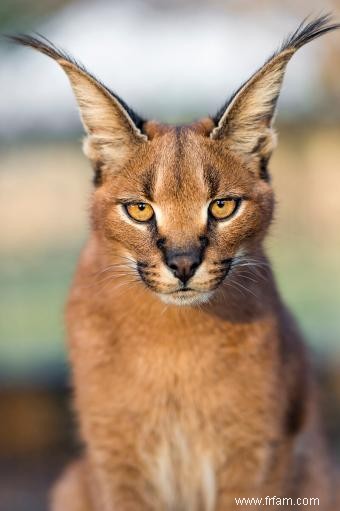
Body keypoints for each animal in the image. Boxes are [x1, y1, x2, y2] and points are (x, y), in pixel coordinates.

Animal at [10, 15, 340, 511]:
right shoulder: (116, 460)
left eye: (222, 206)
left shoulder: (255, 456)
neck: (174, 344)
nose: (183, 264)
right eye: (139, 209)